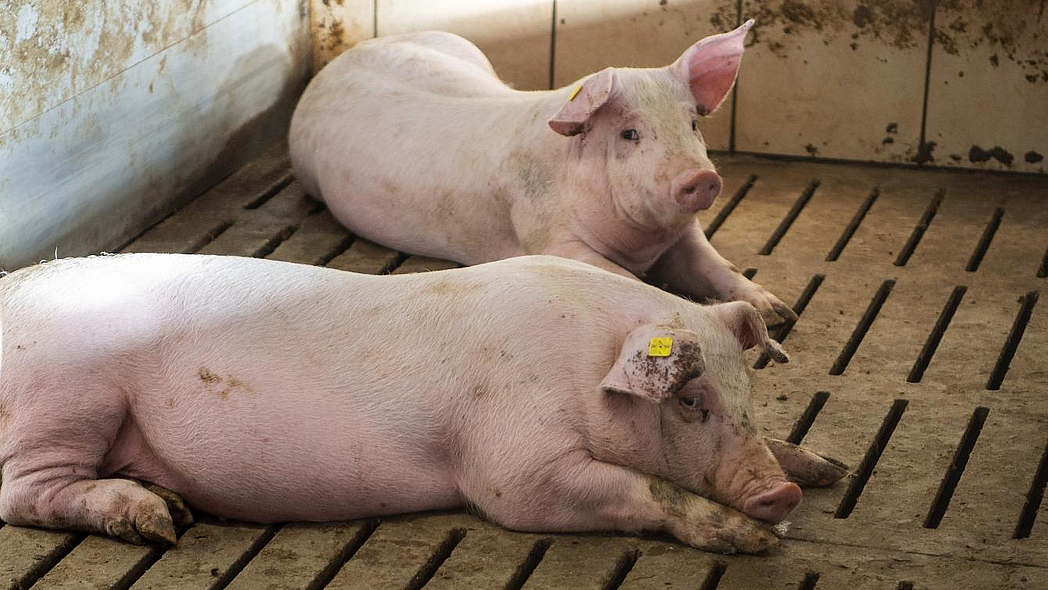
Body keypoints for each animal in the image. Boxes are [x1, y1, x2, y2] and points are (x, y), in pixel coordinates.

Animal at [0, 253, 842, 553]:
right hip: (66, 394)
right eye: (692, 400)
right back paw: (157, 521)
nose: (778, 494)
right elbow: (638, 489)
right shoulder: (512, 467)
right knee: (22, 491)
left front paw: (825, 466)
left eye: (746, 392)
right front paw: (755, 542)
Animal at [287, 19, 792, 326]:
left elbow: (716, 265)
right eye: (629, 133)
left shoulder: (683, 235)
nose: (701, 178)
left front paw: (777, 311)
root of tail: (340, 59)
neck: (642, 242)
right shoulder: (551, 238)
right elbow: (620, 279)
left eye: (692, 124)